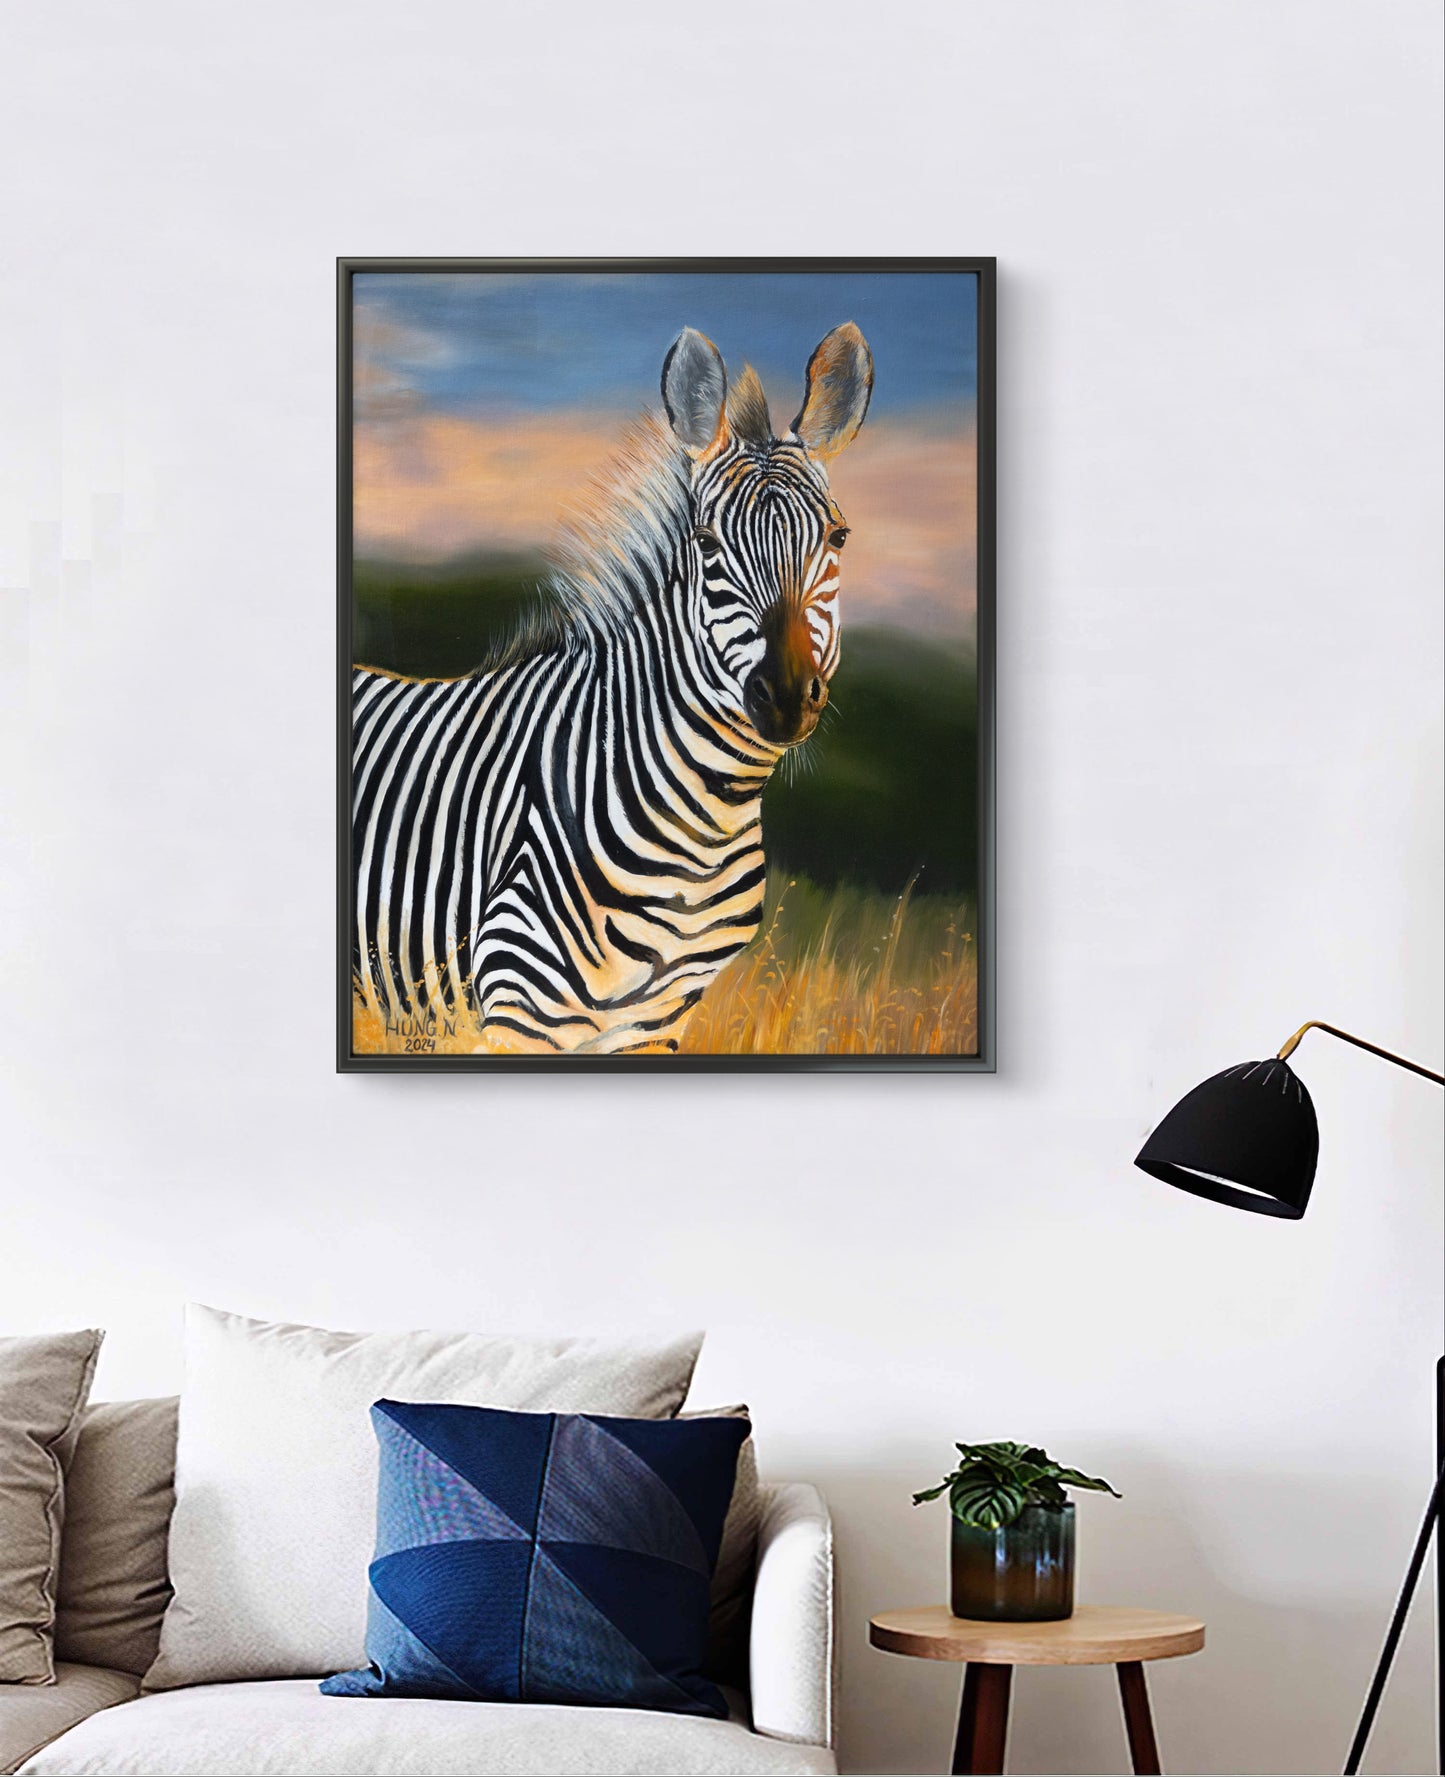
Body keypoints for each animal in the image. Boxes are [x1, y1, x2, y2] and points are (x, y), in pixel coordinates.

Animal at [352, 321, 873, 1055]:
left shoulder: (655, 1022)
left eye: (838, 537)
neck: (702, 827)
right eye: (706, 543)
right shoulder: (519, 1008)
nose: (787, 694)